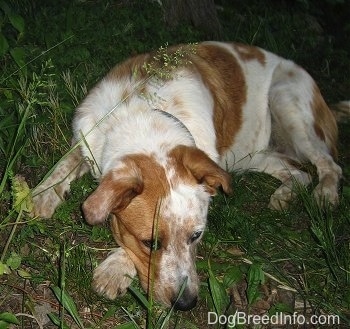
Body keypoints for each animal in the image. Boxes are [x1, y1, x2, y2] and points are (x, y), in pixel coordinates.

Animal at [31, 41, 344, 310]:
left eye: (197, 236)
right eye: (150, 243)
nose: (186, 304)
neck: (143, 114)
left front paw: (116, 268)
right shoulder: (86, 141)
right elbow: (64, 164)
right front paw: (41, 195)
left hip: (286, 99)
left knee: (329, 165)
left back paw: (325, 194)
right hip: (253, 154)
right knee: (300, 173)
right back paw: (284, 195)